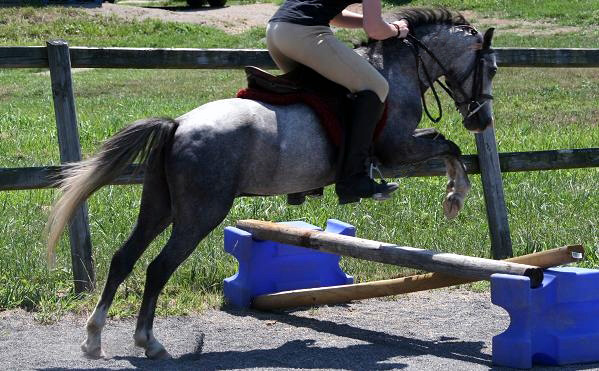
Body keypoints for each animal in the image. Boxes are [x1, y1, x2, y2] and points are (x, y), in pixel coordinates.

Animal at [45, 8, 496, 360]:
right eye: (490, 69)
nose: (482, 121)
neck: (399, 70)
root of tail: (178, 125)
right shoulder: (398, 147)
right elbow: (449, 145)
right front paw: (455, 197)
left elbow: (447, 146)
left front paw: (453, 194)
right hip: (201, 213)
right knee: (158, 267)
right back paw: (148, 342)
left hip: (160, 205)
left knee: (125, 258)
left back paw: (93, 340)